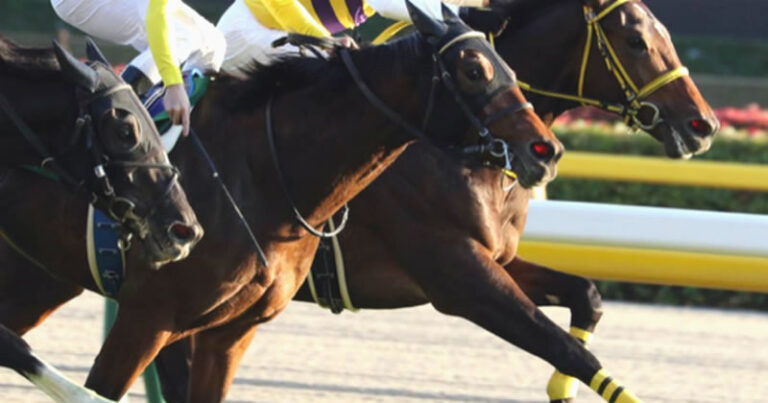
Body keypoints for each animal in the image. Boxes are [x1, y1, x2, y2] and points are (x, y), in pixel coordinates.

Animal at [147, 0, 719, 402]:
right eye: (636, 40)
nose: (704, 124)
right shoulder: (455, 276)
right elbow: (568, 349)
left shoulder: (493, 256)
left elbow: (588, 296)